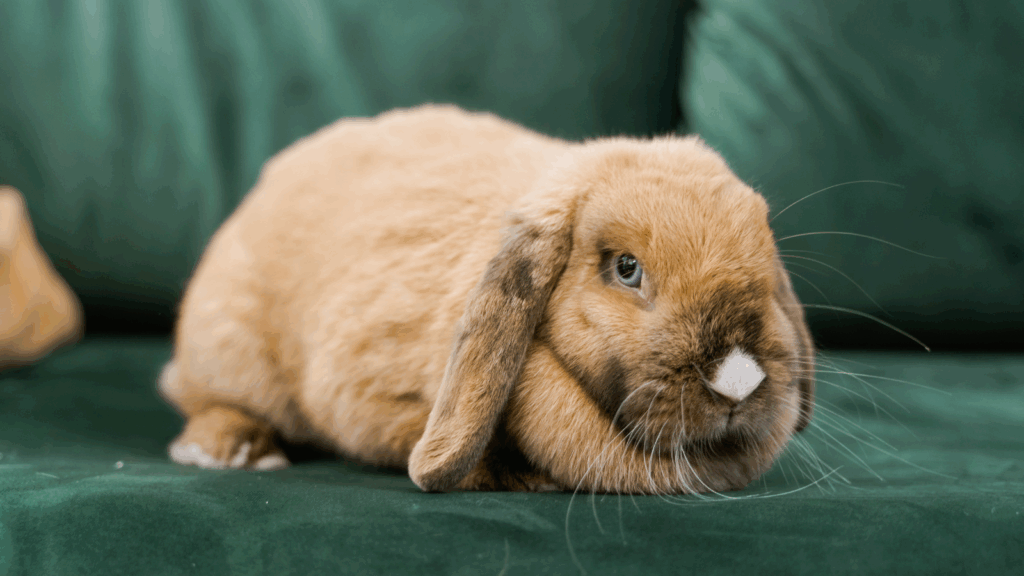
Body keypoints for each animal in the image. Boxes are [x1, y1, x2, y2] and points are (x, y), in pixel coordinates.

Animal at [158, 104, 815, 494]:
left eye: (764, 261)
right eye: (626, 269)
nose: (738, 378)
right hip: (229, 351)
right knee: (208, 399)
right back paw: (233, 452)